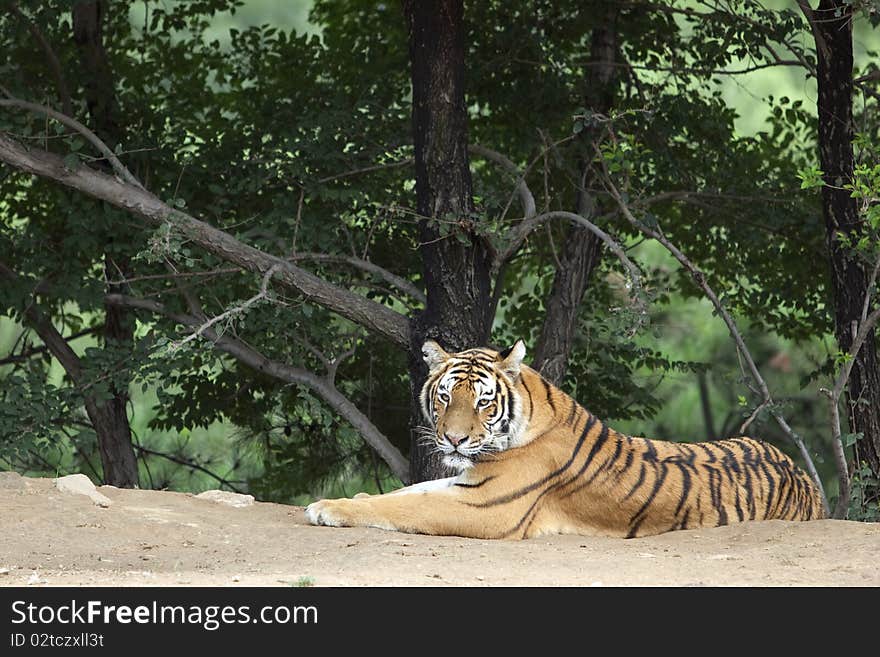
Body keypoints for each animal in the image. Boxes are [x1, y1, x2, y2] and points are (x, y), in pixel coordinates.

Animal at [306, 338, 828, 540]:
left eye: (483, 402)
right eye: (445, 396)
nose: (453, 440)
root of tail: (804, 476)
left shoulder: (486, 504)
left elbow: (407, 507)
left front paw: (327, 506)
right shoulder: (467, 482)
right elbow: (407, 492)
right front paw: (354, 496)